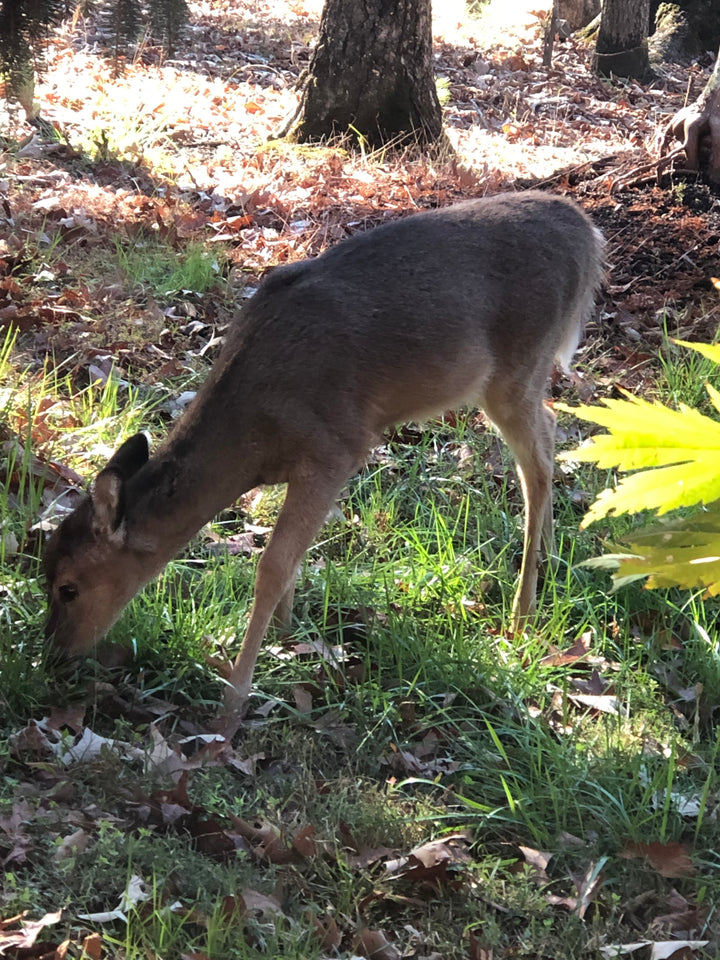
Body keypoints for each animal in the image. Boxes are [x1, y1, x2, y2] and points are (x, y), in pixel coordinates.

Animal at [42, 191, 604, 724]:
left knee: (535, 465)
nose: (52, 658)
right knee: (549, 435)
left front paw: (234, 699)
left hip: (516, 368)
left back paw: (522, 613)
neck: (254, 441)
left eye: (68, 588)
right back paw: (551, 558)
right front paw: (288, 634)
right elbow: (288, 558)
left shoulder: (337, 447)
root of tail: (588, 235)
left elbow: (272, 564)